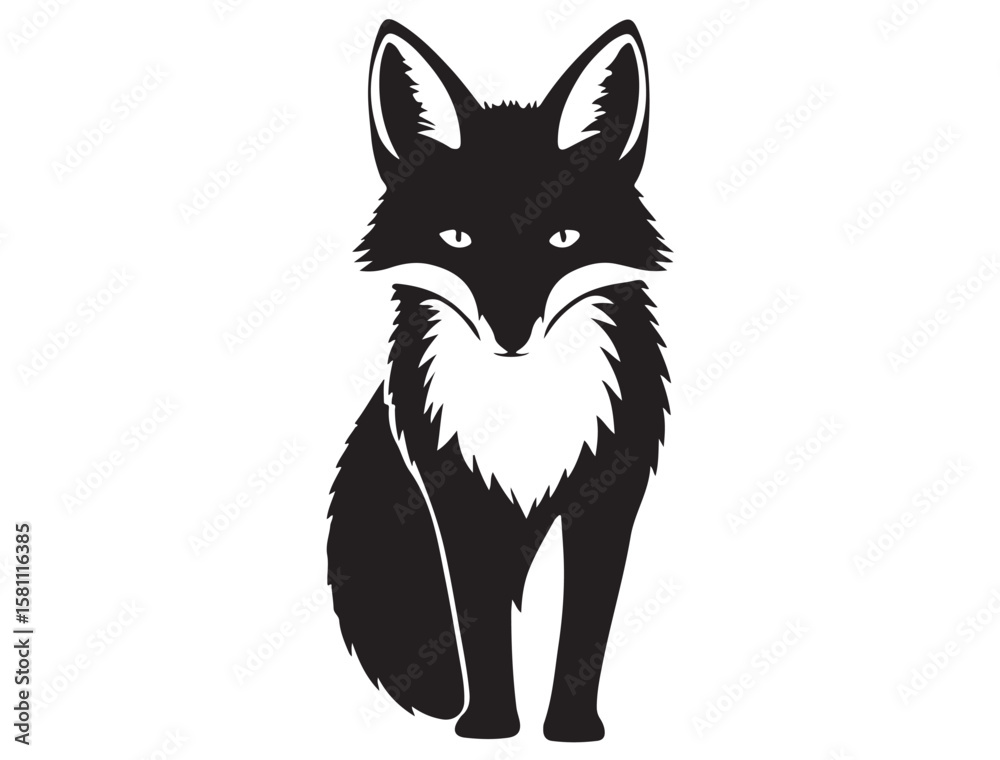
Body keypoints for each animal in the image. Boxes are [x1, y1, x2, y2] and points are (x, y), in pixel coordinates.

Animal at [327, 19, 670, 742]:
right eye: (457, 237)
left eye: (563, 237)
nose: (511, 337)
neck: (522, 413)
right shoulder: (454, 495)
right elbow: (479, 628)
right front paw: (487, 727)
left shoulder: (609, 492)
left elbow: (585, 629)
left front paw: (572, 729)